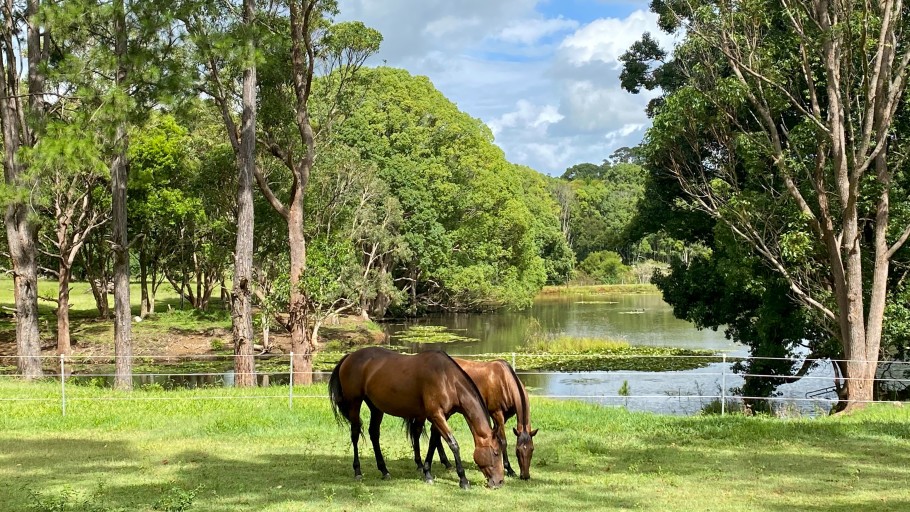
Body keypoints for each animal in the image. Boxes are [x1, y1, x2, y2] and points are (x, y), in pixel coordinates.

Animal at [328, 346, 506, 490]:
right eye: (496, 452)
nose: (499, 482)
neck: (446, 378)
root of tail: (349, 356)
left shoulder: (440, 416)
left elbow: (434, 442)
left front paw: (427, 473)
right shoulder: (436, 415)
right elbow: (453, 444)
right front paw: (463, 480)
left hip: (376, 408)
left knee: (374, 434)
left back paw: (384, 471)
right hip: (354, 403)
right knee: (355, 434)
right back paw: (358, 471)